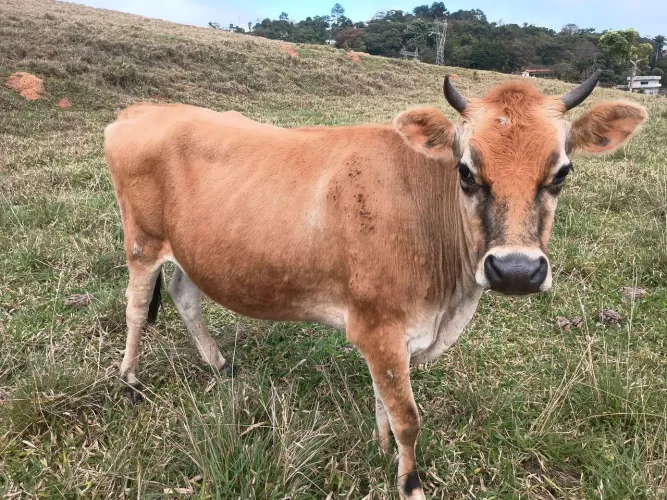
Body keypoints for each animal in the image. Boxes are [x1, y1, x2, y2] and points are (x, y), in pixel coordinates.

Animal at [104, 70, 646, 499]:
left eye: (562, 171)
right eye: (466, 170)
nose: (515, 270)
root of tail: (139, 111)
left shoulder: (387, 332)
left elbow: (383, 397)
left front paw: (380, 447)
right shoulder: (378, 326)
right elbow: (406, 415)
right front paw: (409, 482)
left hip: (193, 251)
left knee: (184, 296)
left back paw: (220, 365)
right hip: (142, 242)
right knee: (135, 307)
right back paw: (129, 381)